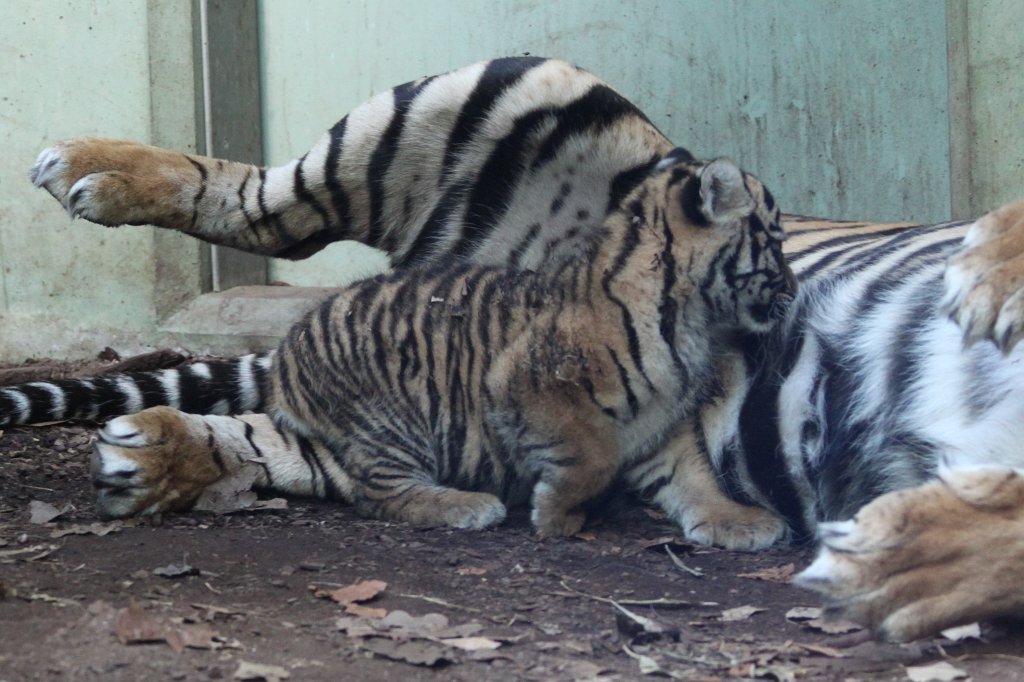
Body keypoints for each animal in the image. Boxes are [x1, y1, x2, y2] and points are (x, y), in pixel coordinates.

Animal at [11, 57, 1024, 639]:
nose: (781, 296)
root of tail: (433, 267)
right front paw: (986, 273)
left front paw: (899, 560)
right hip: (483, 95)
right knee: (262, 202)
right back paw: (86, 168)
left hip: (372, 412)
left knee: (301, 452)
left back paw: (147, 460)